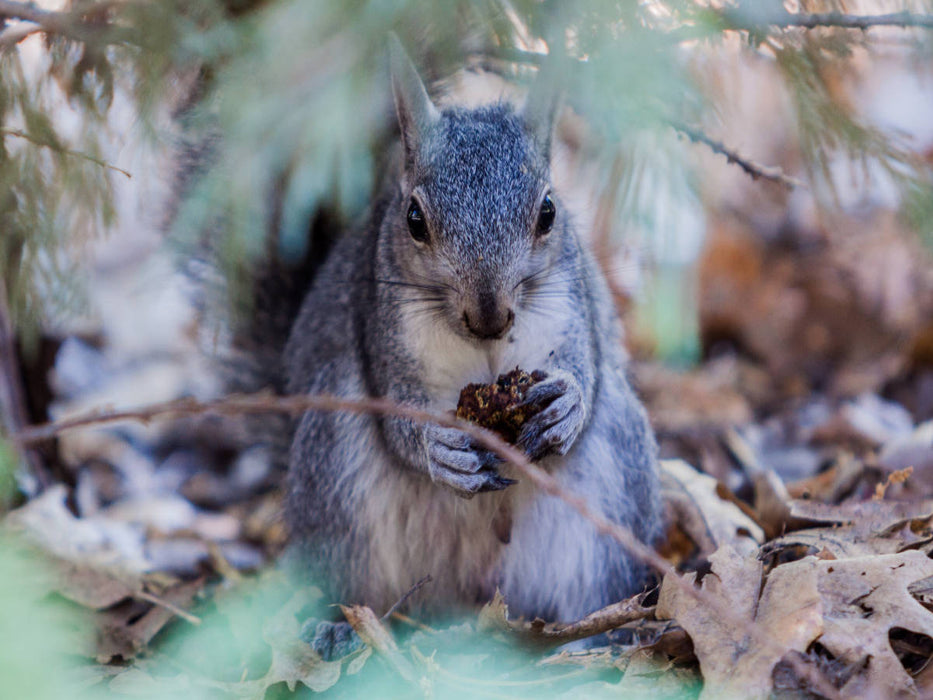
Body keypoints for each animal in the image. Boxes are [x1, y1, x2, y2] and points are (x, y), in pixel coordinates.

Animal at [280, 37, 662, 627]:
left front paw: (567, 405)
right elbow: (398, 415)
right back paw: (338, 629)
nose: (489, 317)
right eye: (414, 219)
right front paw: (439, 448)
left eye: (548, 212)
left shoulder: (575, 306)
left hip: (614, 488)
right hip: (335, 473)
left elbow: (587, 368)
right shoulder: (381, 329)